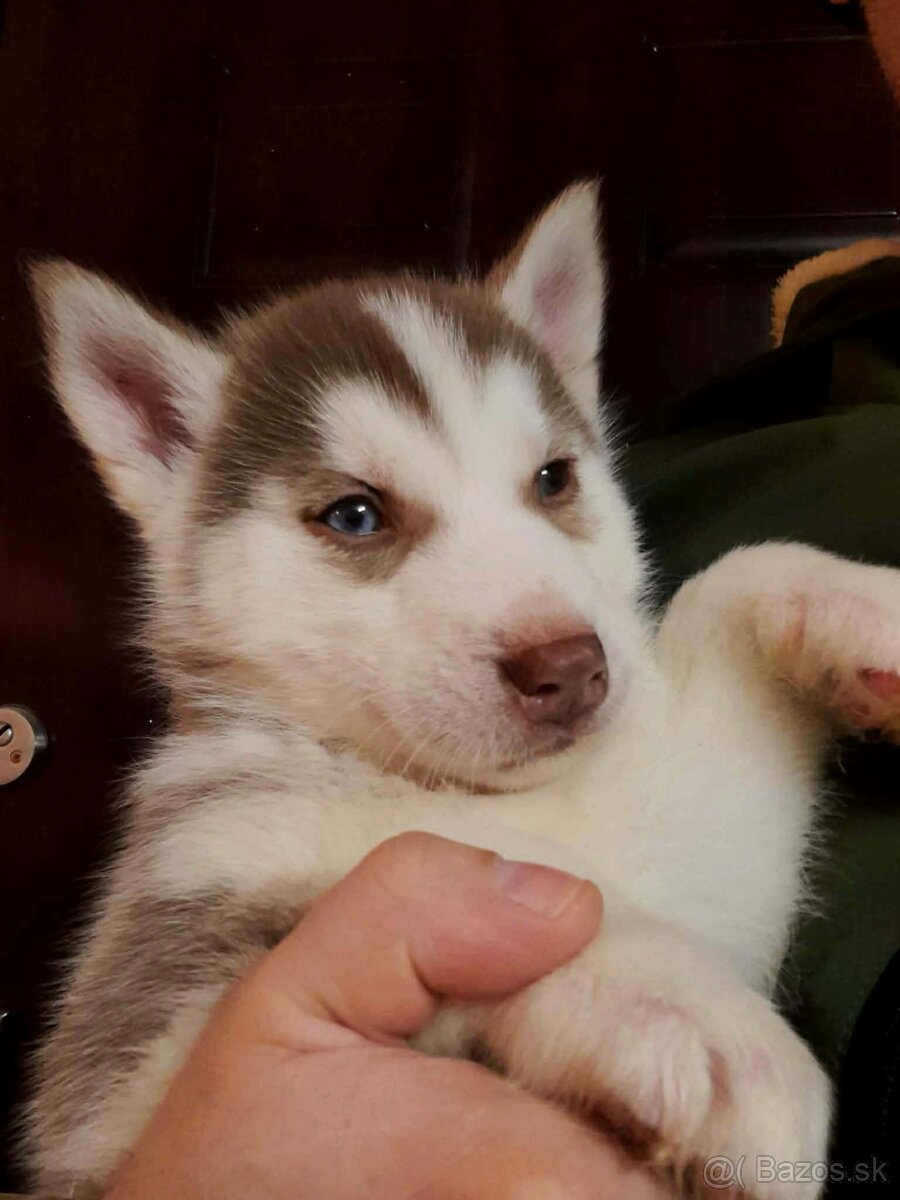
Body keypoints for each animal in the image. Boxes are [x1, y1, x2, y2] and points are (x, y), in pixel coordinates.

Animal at [22, 182, 900, 1198]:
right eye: (355, 515)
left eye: (553, 478)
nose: (571, 667)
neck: (480, 798)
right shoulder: (146, 1020)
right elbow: (463, 908)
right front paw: (681, 1006)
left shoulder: (721, 862)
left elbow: (741, 574)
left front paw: (872, 608)